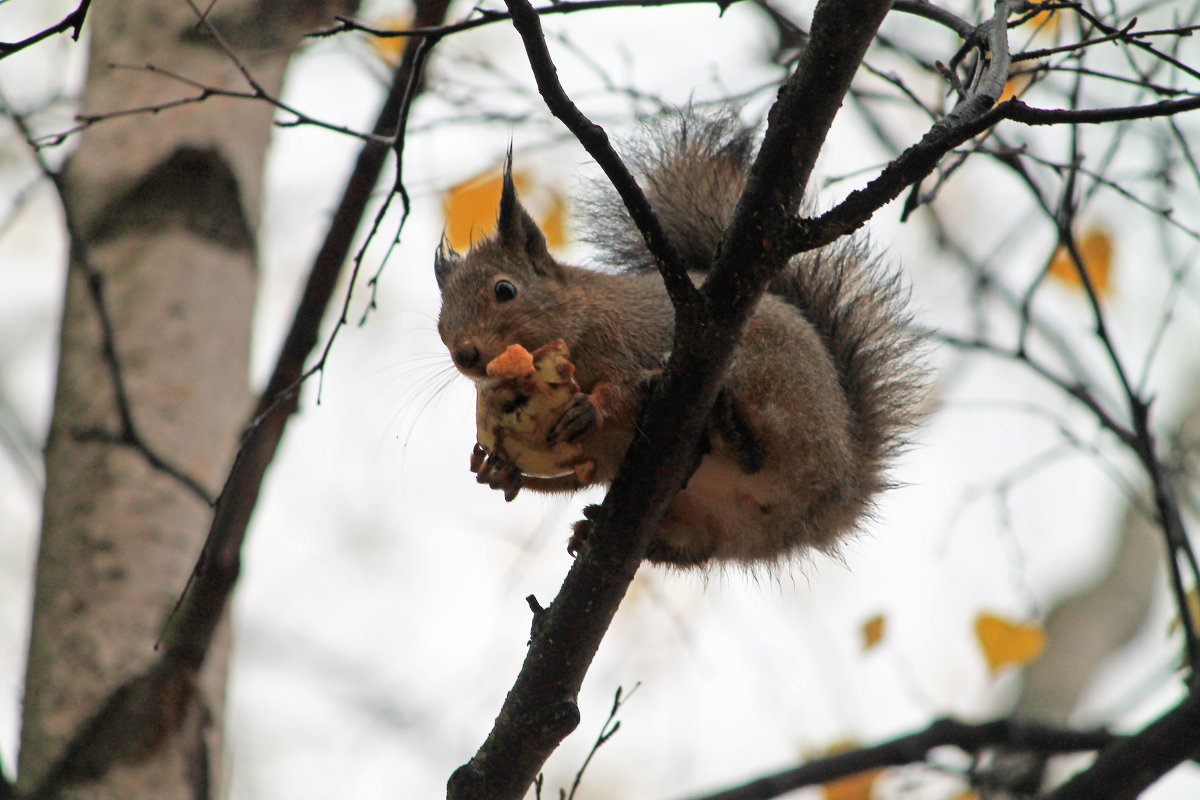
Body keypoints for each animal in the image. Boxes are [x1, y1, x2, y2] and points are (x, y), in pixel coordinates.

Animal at [436, 113, 921, 568]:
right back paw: (593, 529)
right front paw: (499, 471)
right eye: (440, 326)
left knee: (758, 450)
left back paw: (725, 425)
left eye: (505, 290)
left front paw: (591, 407)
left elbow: (622, 388)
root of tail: (844, 487)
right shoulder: (594, 456)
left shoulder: (624, 342)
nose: (465, 355)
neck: (580, 318)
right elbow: (574, 478)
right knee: (692, 547)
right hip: (701, 523)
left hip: (781, 396)